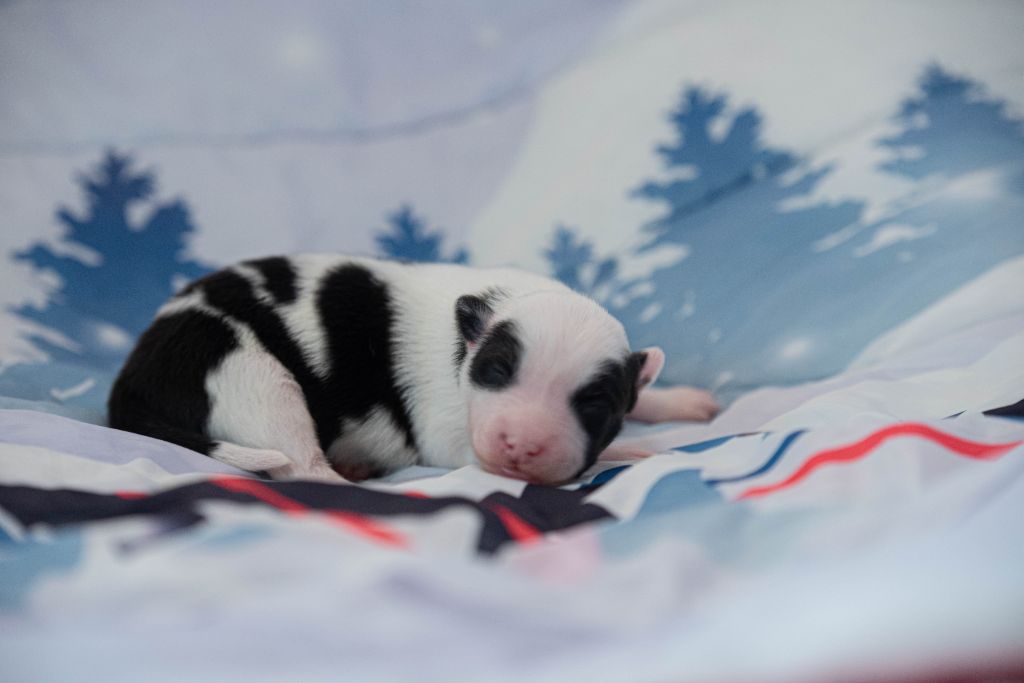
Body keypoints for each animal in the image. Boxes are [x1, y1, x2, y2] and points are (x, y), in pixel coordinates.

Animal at [108, 254, 718, 484]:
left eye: (594, 402)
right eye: (497, 372)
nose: (522, 446)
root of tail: (133, 379)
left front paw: (680, 400)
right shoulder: (449, 434)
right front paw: (640, 449)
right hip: (252, 376)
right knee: (302, 463)